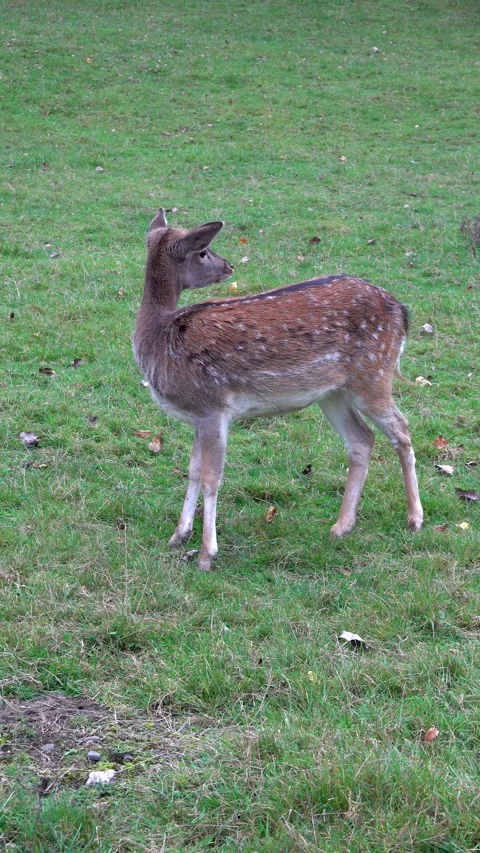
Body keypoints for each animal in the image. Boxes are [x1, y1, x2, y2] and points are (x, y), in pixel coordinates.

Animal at [133, 208, 423, 571]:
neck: (158, 336)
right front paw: (178, 537)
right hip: (333, 393)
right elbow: (193, 472)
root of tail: (402, 312)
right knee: (362, 439)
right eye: (203, 252)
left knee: (401, 428)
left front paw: (206, 555)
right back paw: (341, 527)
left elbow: (212, 478)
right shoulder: (200, 415)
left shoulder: (213, 407)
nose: (229, 265)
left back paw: (414, 519)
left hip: (374, 374)